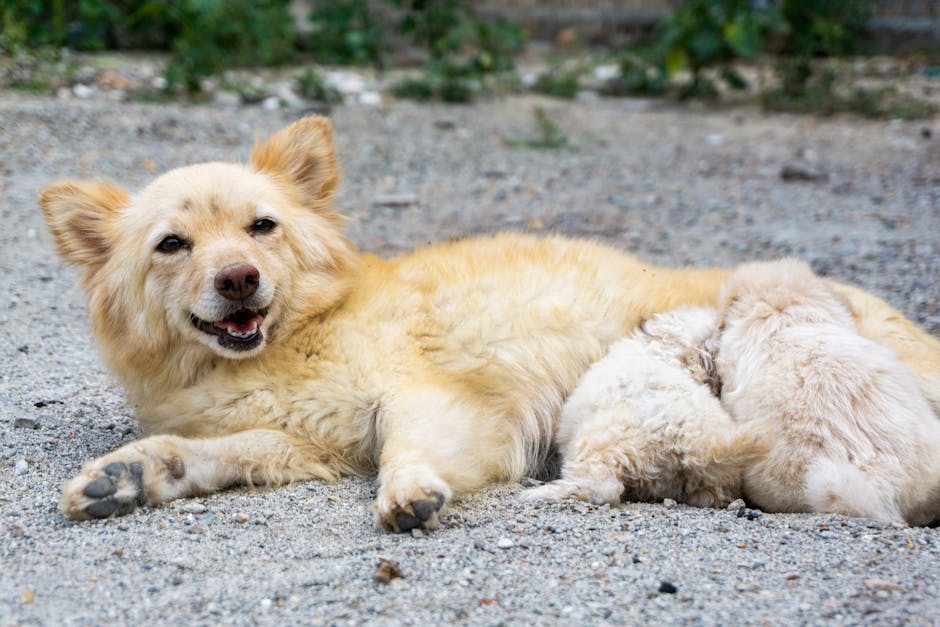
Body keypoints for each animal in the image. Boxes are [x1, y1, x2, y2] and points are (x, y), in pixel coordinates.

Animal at [520, 308, 764, 510]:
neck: (663, 352)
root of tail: (698, 445)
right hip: (710, 484)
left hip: (599, 441)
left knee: (602, 488)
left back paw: (543, 493)